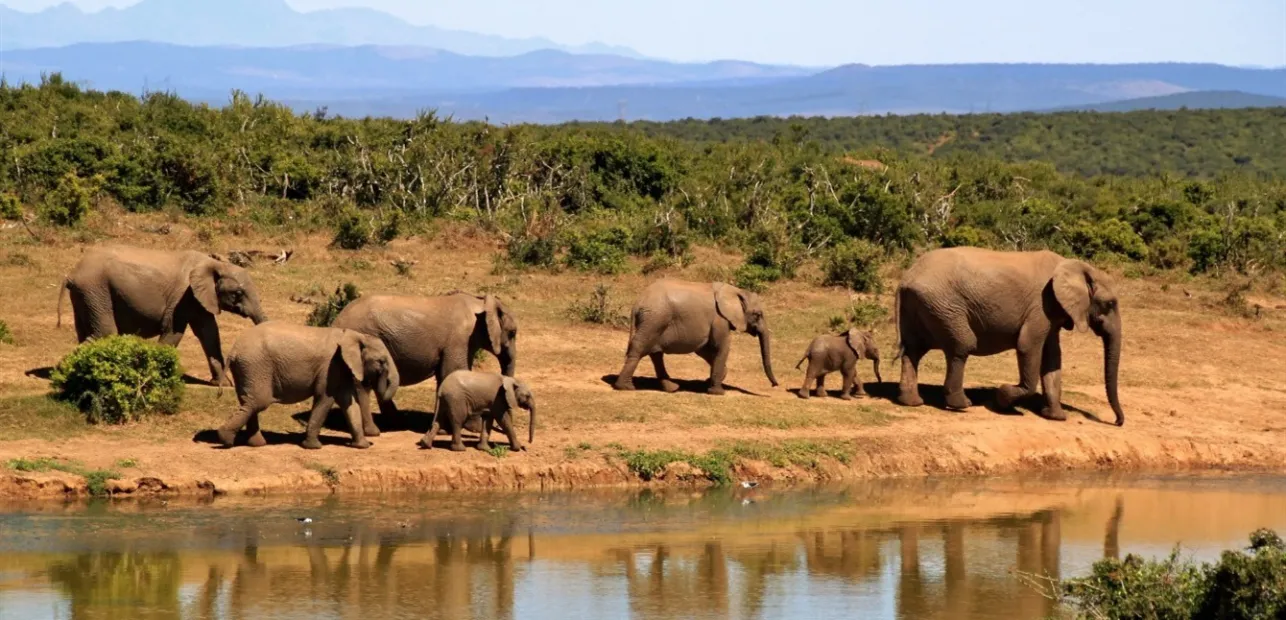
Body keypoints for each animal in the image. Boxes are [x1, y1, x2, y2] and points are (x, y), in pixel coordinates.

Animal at [58, 245, 268, 383]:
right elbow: (174, 332)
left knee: (87, 332)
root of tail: (71, 274)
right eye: (238, 293)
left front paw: (222, 385)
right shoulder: (183, 297)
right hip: (95, 290)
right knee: (105, 332)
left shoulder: (199, 299)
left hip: (86, 295)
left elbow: (209, 334)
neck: (214, 264)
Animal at [216, 321, 398, 447]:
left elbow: (349, 402)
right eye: (381, 362)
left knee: (249, 401)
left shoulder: (341, 368)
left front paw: (362, 446)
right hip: (255, 366)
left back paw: (256, 444)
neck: (355, 335)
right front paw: (314, 447)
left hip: (247, 369)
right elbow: (325, 398)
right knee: (257, 402)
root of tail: (233, 351)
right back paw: (225, 438)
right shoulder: (330, 366)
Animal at [331, 290, 516, 434]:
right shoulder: (460, 339)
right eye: (513, 332)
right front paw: (472, 429)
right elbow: (453, 371)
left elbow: (445, 376)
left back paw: (396, 423)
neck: (479, 302)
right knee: (362, 385)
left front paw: (444, 429)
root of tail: (336, 321)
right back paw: (374, 431)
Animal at [609, 279, 776, 393]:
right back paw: (626, 387)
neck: (736, 291)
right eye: (757, 314)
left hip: (653, 321)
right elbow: (721, 346)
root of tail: (637, 303)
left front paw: (711, 380)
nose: (775, 385)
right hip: (655, 319)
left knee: (655, 353)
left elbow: (704, 349)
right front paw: (717, 392)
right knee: (640, 348)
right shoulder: (719, 319)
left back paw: (672, 388)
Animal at [895, 246, 1126, 427]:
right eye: (1110, 304)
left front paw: (1056, 417)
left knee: (913, 350)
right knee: (962, 345)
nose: (1117, 422)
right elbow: (1027, 346)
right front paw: (1002, 398)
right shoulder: (1041, 306)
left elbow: (1052, 358)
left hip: (922, 306)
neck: (1075, 266)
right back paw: (961, 404)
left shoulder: (1052, 311)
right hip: (943, 305)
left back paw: (911, 402)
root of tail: (906, 278)